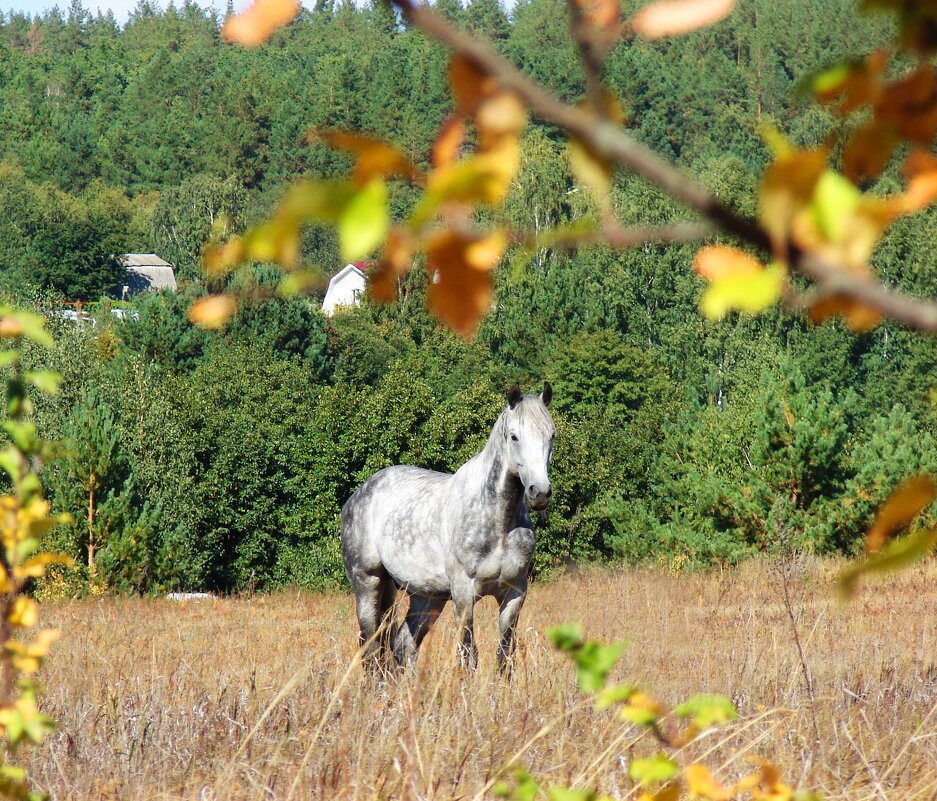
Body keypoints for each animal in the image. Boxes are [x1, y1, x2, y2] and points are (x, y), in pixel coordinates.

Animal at [340, 384, 552, 672]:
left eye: (551, 435)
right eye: (514, 436)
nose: (539, 492)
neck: (498, 522)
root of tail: (358, 494)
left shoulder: (514, 594)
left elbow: (504, 656)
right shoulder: (463, 594)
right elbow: (468, 654)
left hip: (426, 596)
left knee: (402, 646)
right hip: (368, 583)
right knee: (371, 648)